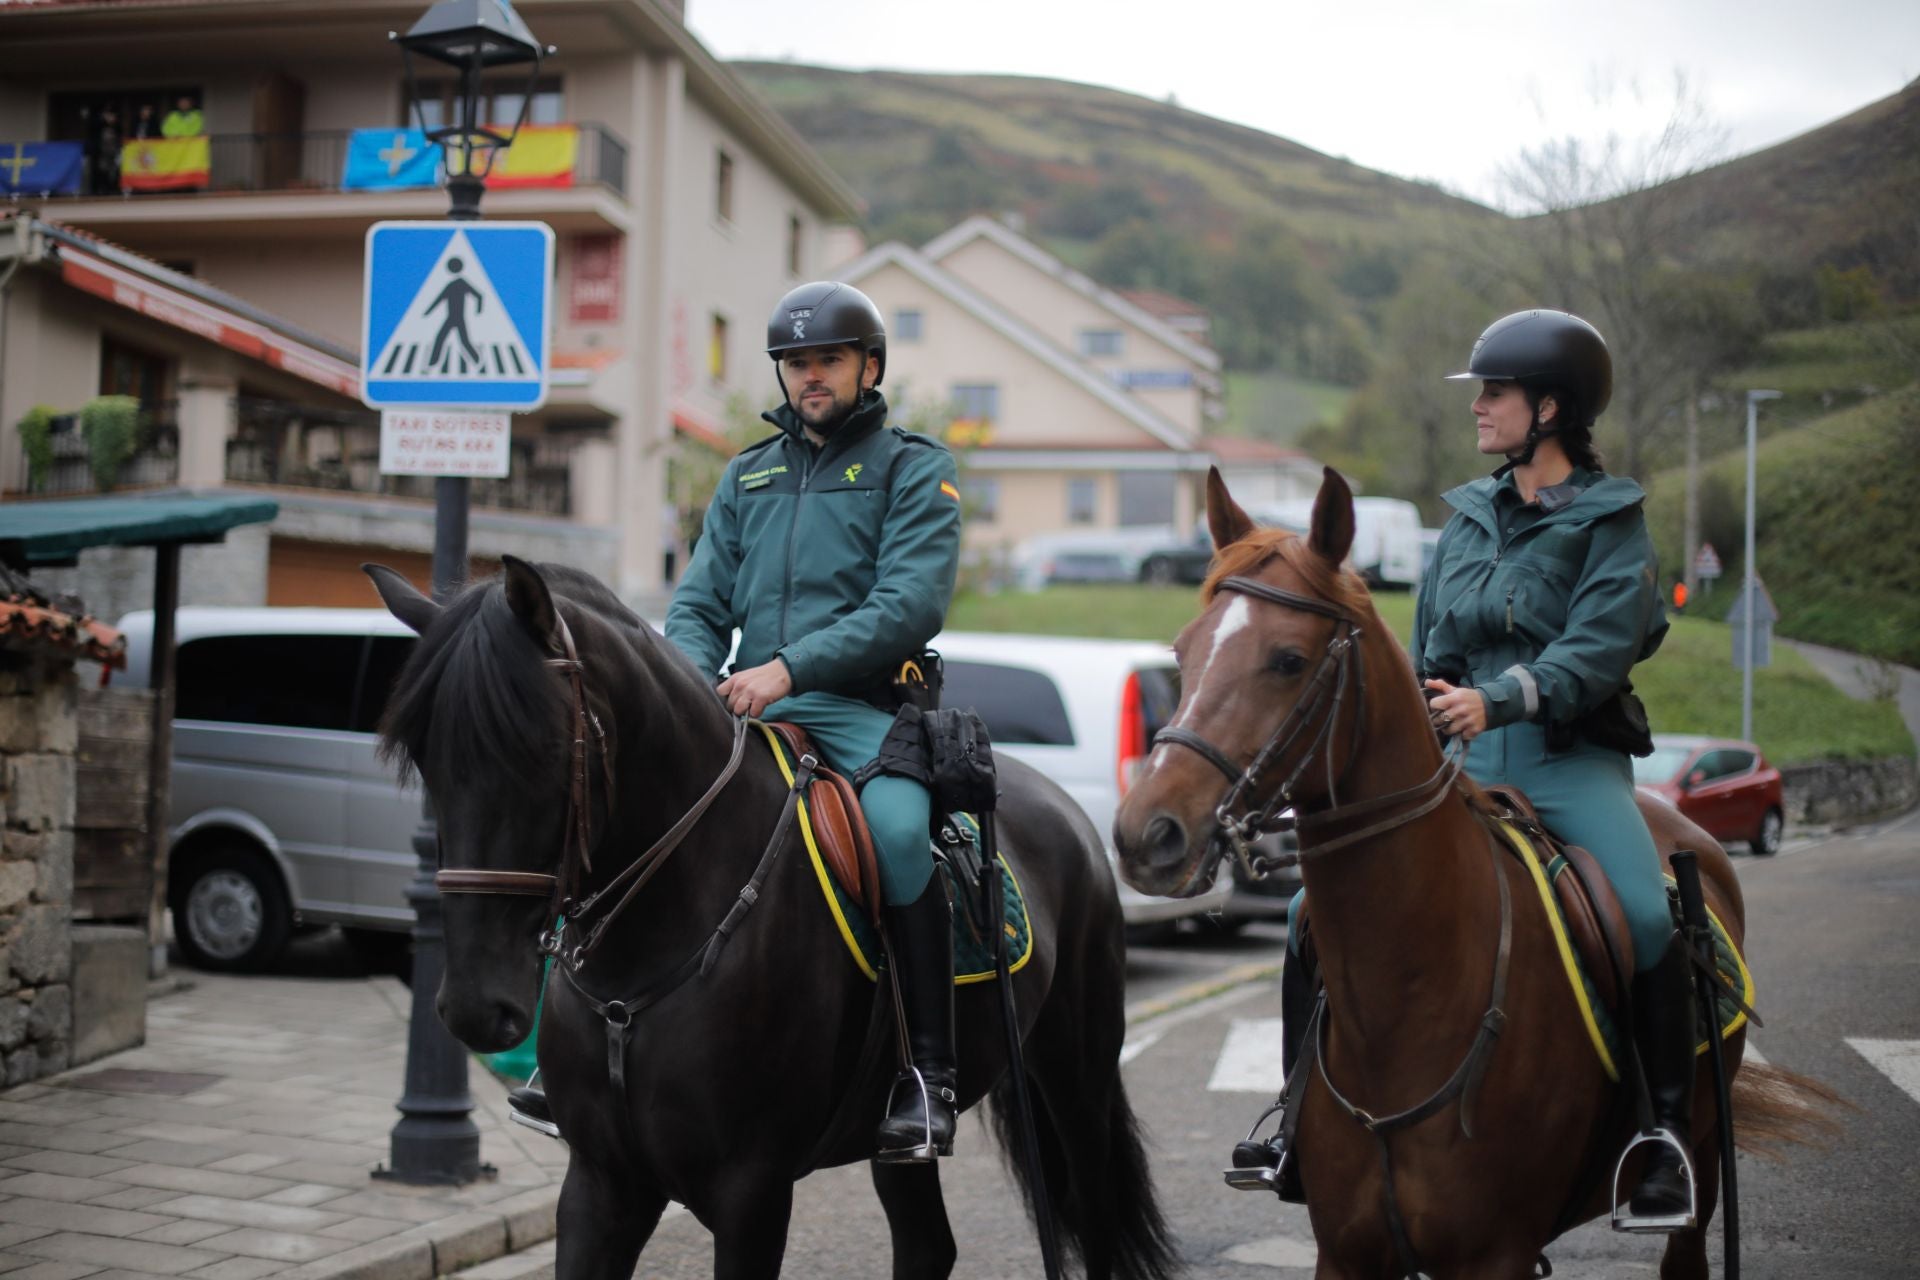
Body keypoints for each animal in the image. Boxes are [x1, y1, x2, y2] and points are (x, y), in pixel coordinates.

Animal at [360, 560, 1167, 1280]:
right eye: (425, 756)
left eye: (543, 749)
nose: (473, 1005)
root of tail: (1061, 807)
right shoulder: (600, 1182)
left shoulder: (750, 1191)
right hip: (897, 1143)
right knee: (927, 1247)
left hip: (1075, 1079)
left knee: (1095, 1221)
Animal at [1113, 470, 1812, 1280]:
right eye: (1183, 651)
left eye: (1287, 659)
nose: (1146, 833)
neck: (1411, 1004)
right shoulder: (1346, 1254)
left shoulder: (1493, 1254)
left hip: (1697, 1171)